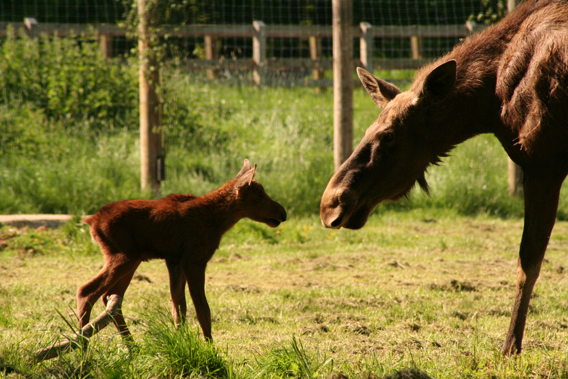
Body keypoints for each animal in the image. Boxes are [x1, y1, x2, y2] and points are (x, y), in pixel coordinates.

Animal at [322, 0, 564, 356]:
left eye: (388, 135)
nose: (330, 203)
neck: (490, 103)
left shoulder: (543, 163)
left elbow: (528, 262)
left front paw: (510, 347)